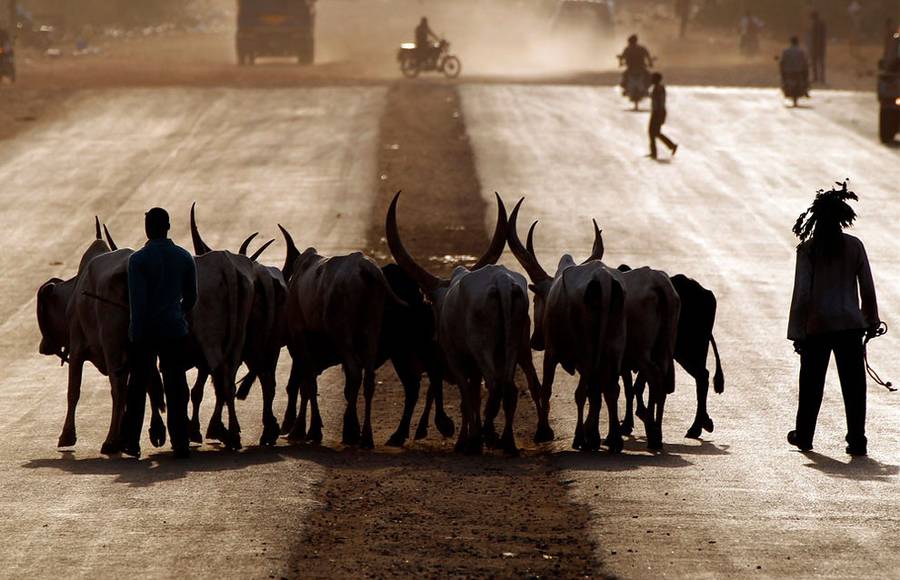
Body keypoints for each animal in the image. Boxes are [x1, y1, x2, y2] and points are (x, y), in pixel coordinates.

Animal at [36, 220, 167, 456]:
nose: (43, 346)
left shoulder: (77, 348)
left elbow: (73, 391)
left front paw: (67, 436)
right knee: (146, 383)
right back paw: (145, 436)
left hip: (112, 345)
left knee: (119, 389)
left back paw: (111, 442)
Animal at [384, 193, 536, 456]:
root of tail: (502, 282)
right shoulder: (471, 365)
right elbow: (472, 396)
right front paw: (467, 437)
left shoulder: (456, 359)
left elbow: (466, 396)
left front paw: (466, 440)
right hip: (513, 346)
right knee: (509, 388)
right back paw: (506, 442)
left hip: (482, 347)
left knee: (495, 384)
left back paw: (485, 436)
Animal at [506, 201, 624, 454]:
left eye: (535, 299)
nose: (535, 341)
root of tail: (603, 282)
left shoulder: (553, 352)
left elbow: (546, 388)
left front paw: (544, 432)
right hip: (614, 343)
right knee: (609, 388)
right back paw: (612, 439)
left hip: (586, 346)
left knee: (585, 391)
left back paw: (583, 438)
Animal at [620, 268, 724, 440]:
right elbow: (636, 387)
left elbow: (632, 388)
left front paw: (629, 423)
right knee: (702, 377)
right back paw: (704, 422)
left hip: (688, 351)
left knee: (702, 377)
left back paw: (696, 427)